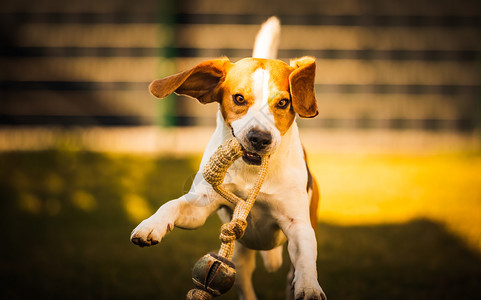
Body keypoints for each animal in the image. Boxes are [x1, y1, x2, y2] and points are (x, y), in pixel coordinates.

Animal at [130, 17, 326, 300]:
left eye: (283, 102)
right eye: (239, 98)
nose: (259, 138)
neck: (252, 172)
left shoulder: (298, 225)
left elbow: (306, 261)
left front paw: (310, 287)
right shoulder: (201, 206)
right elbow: (173, 205)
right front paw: (151, 225)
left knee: (290, 274)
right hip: (240, 258)